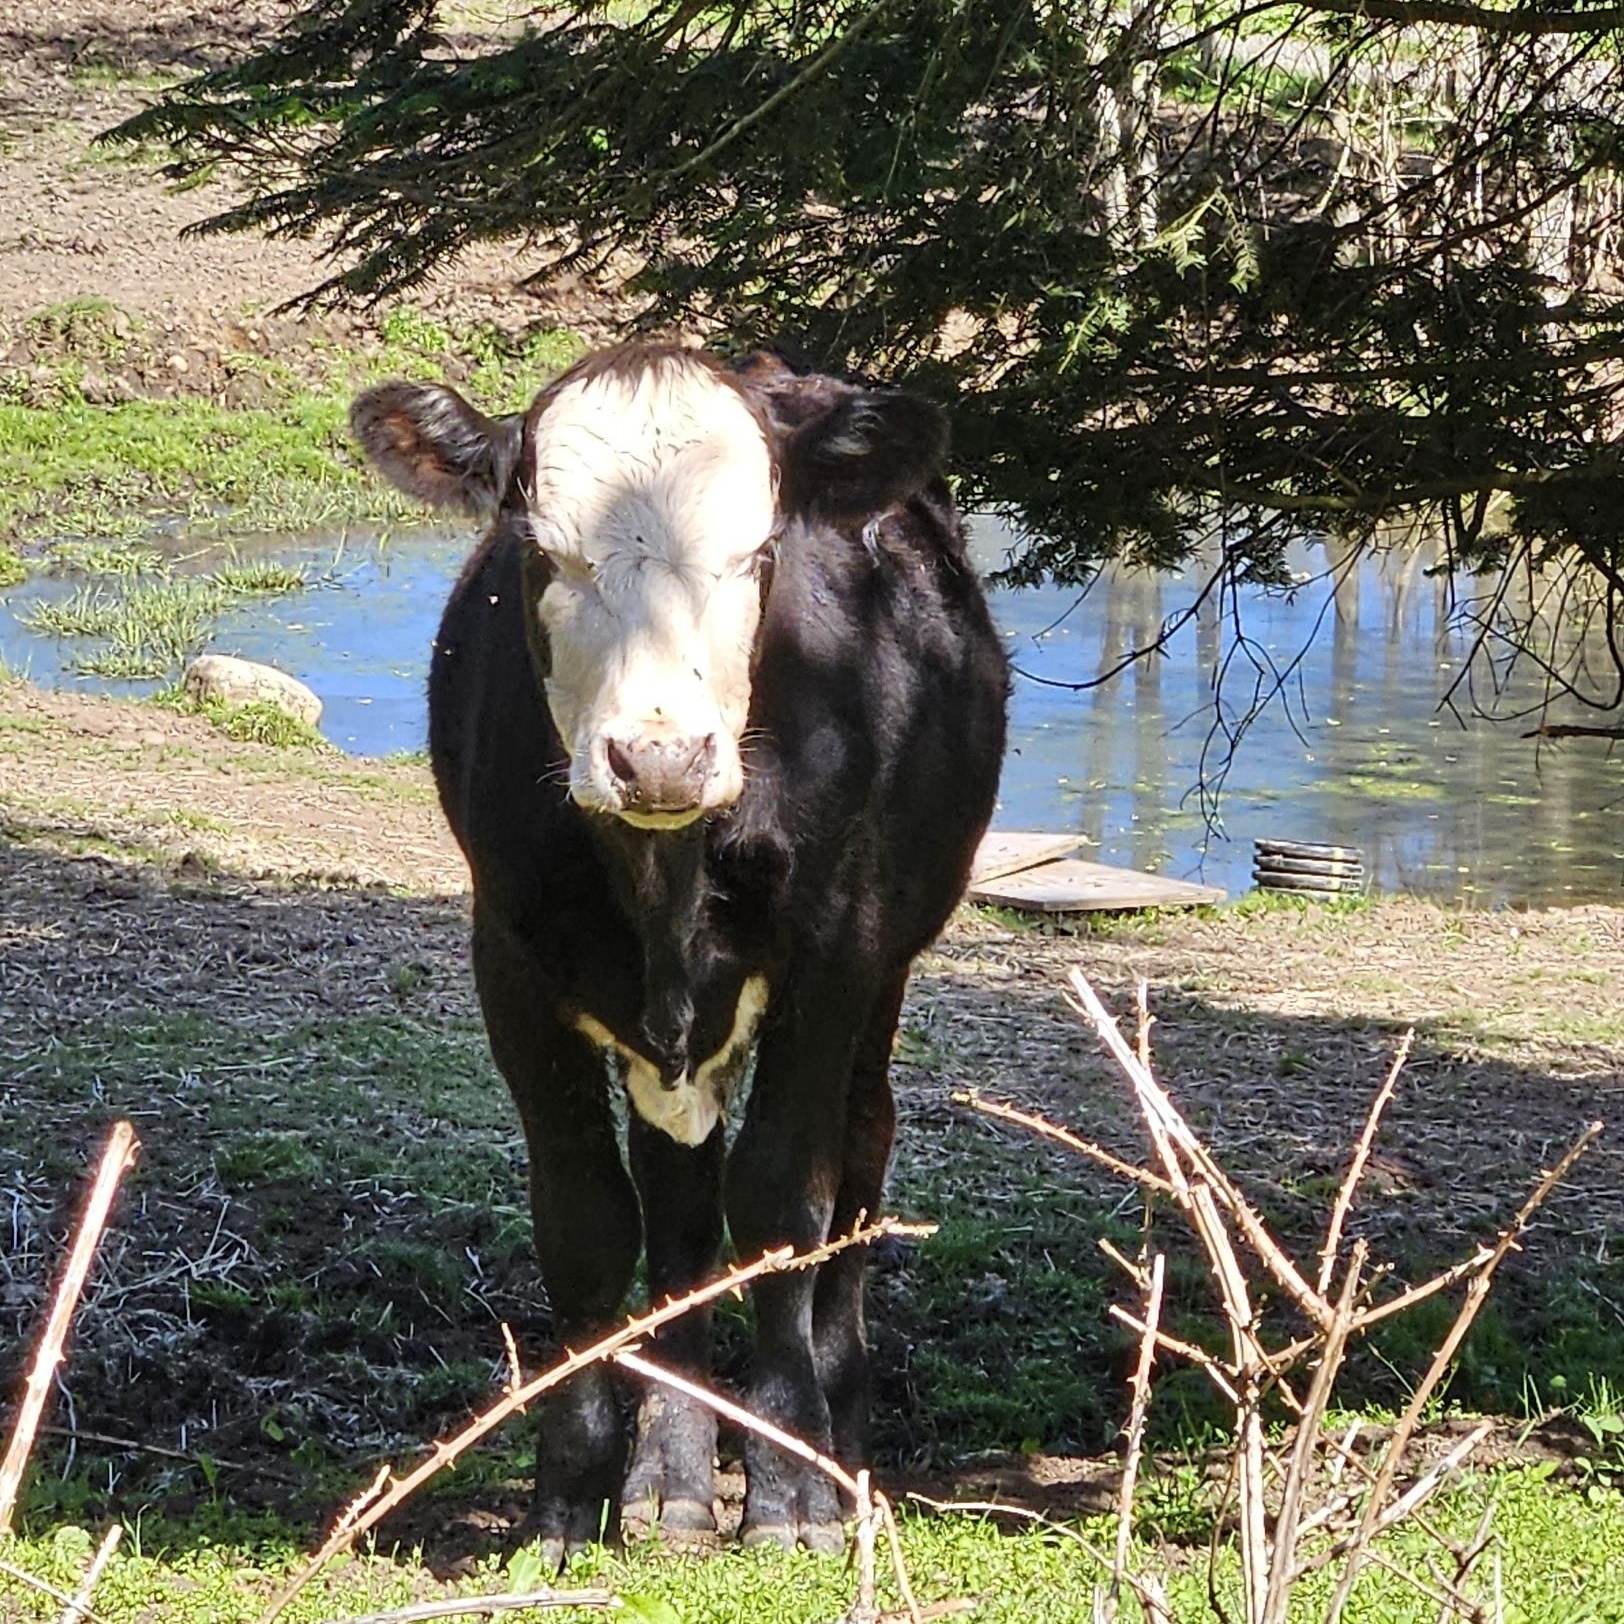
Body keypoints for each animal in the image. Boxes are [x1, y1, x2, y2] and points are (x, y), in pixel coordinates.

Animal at [350, 342, 1008, 1560]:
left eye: (758, 552)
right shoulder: (510, 963)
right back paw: (673, 1474)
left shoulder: (832, 955)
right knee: (681, 1201)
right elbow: (590, 1222)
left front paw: (791, 1494)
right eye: (540, 551)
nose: (658, 757)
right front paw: (574, 1496)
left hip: (885, 976)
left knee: (858, 1156)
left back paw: (838, 1440)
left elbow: (784, 1199)